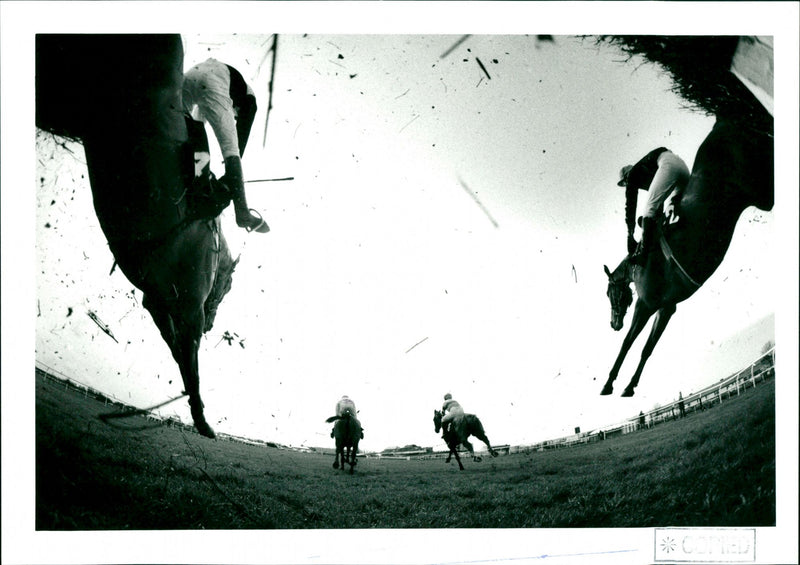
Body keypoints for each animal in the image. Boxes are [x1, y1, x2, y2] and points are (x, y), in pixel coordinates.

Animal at [36, 34, 238, 436]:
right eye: (227, 287)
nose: (213, 324)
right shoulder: (188, 307)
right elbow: (189, 362)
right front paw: (202, 418)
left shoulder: (158, 302)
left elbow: (177, 349)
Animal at [604, 115, 772, 396]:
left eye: (609, 293)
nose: (613, 324)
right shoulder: (666, 308)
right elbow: (647, 349)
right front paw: (629, 386)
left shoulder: (645, 304)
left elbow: (628, 343)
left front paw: (609, 383)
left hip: (757, 188)